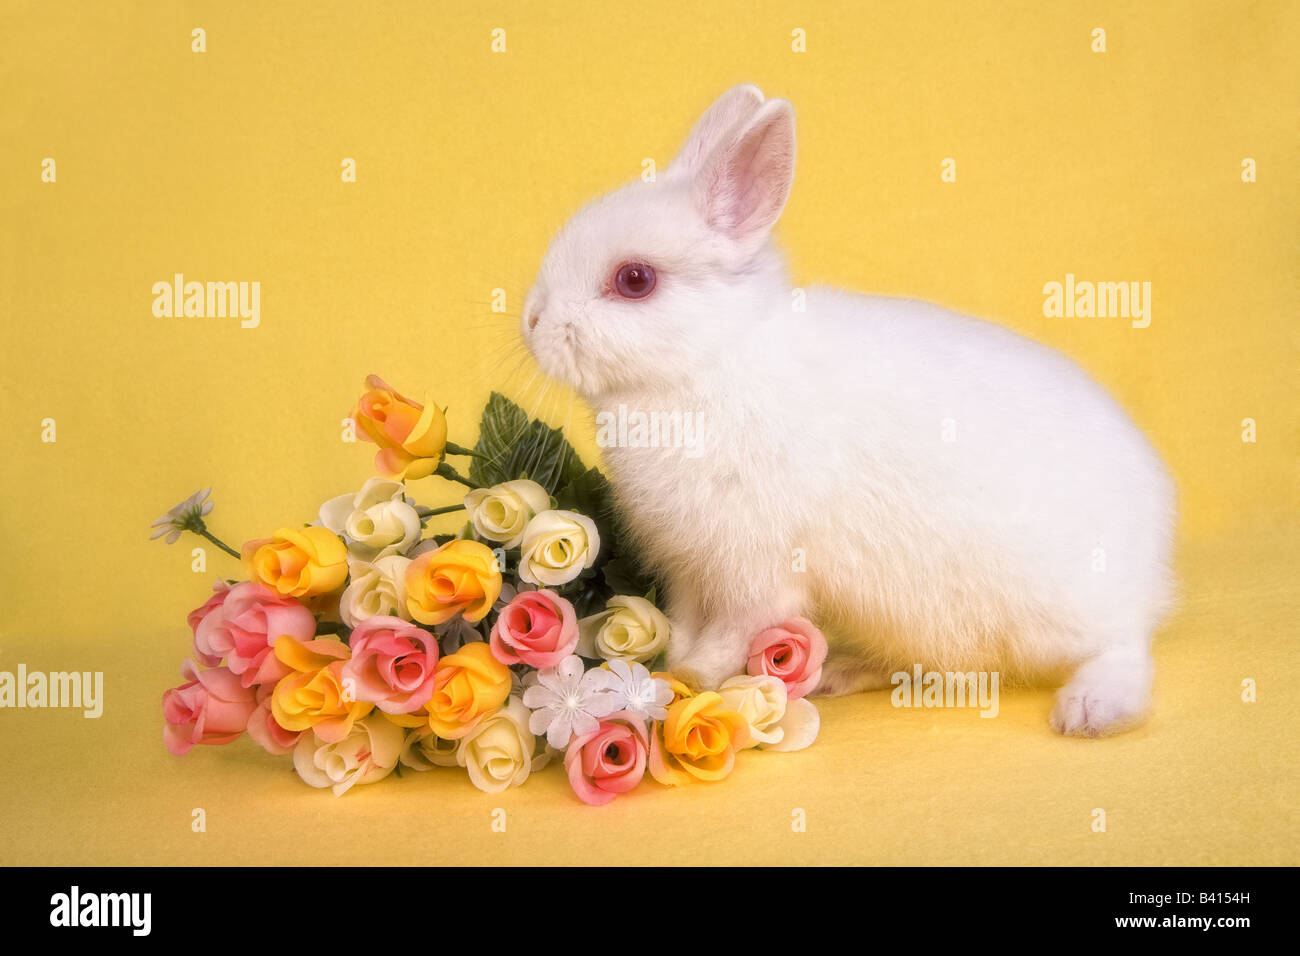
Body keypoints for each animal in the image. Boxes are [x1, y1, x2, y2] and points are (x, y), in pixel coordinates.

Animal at [521, 84, 1176, 735]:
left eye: (635, 279)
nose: (532, 321)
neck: (709, 360)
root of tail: (1154, 551)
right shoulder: (688, 565)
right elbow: (683, 620)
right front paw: (667, 672)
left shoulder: (757, 568)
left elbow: (735, 629)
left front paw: (694, 680)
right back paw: (844, 671)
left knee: (1124, 644)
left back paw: (1090, 709)